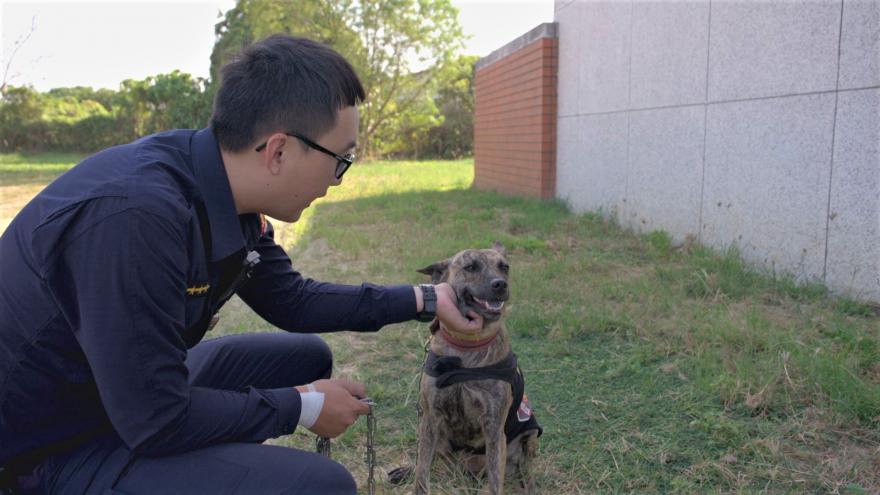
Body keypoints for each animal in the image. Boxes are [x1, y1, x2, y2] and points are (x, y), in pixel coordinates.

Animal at [410, 245, 536, 495]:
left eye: (504, 267)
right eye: (470, 267)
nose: (500, 284)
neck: (466, 346)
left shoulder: (494, 428)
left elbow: (495, 482)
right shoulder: (430, 419)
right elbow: (421, 470)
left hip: (530, 432)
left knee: (526, 466)